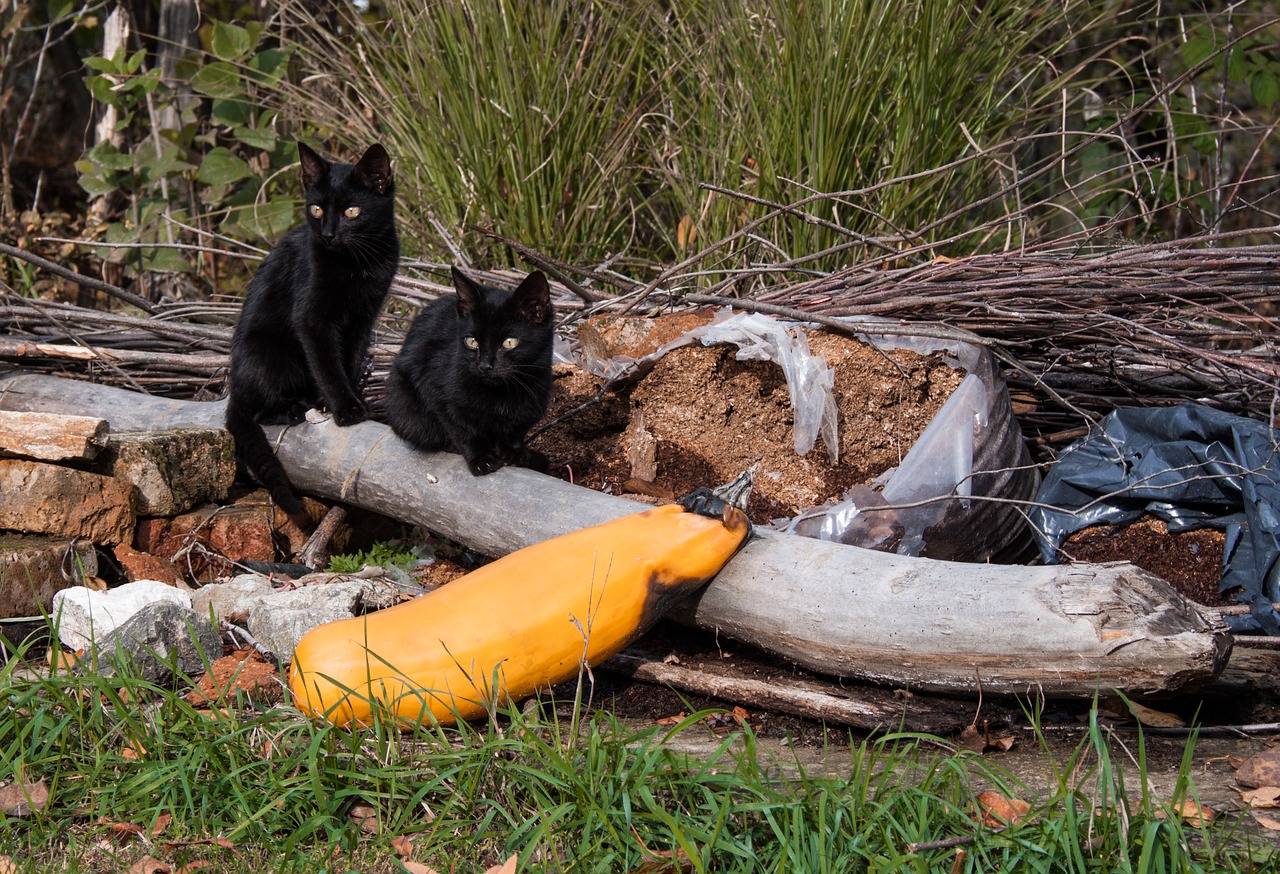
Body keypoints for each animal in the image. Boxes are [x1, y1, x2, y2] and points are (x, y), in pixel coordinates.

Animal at [222, 142, 396, 527]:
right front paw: (345, 409)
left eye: (351, 211)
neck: (357, 264)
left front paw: (350, 401)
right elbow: (327, 365)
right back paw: (291, 409)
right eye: (316, 209)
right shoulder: (312, 318)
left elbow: (349, 360)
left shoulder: (363, 319)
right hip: (269, 353)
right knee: (256, 409)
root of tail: (234, 388)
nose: (328, 234)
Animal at [384, 268, 555, 478]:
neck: (501, 395)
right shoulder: (437, 392)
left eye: (509, 342)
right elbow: (462, 428)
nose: (485, 366)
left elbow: (516, 432)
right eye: (472, 341)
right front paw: (481, 458)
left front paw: (515, 453)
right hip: (404, 407)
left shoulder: (533, 401)